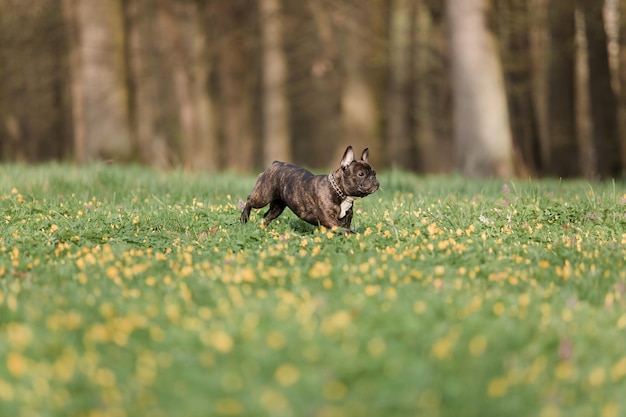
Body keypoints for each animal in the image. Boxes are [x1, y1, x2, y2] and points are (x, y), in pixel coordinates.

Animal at [238, 146, 376, 231]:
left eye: (374, 172)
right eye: (361, 174)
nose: (373, 178)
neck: (341, 192)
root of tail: (275, 163)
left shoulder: (346, 218)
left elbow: (344, 228)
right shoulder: (328, 218)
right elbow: (342, 229)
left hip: (278, 207)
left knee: (267, 216)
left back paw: (262, 228)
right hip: (263, 197)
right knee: (249, 200)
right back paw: (244, 218)